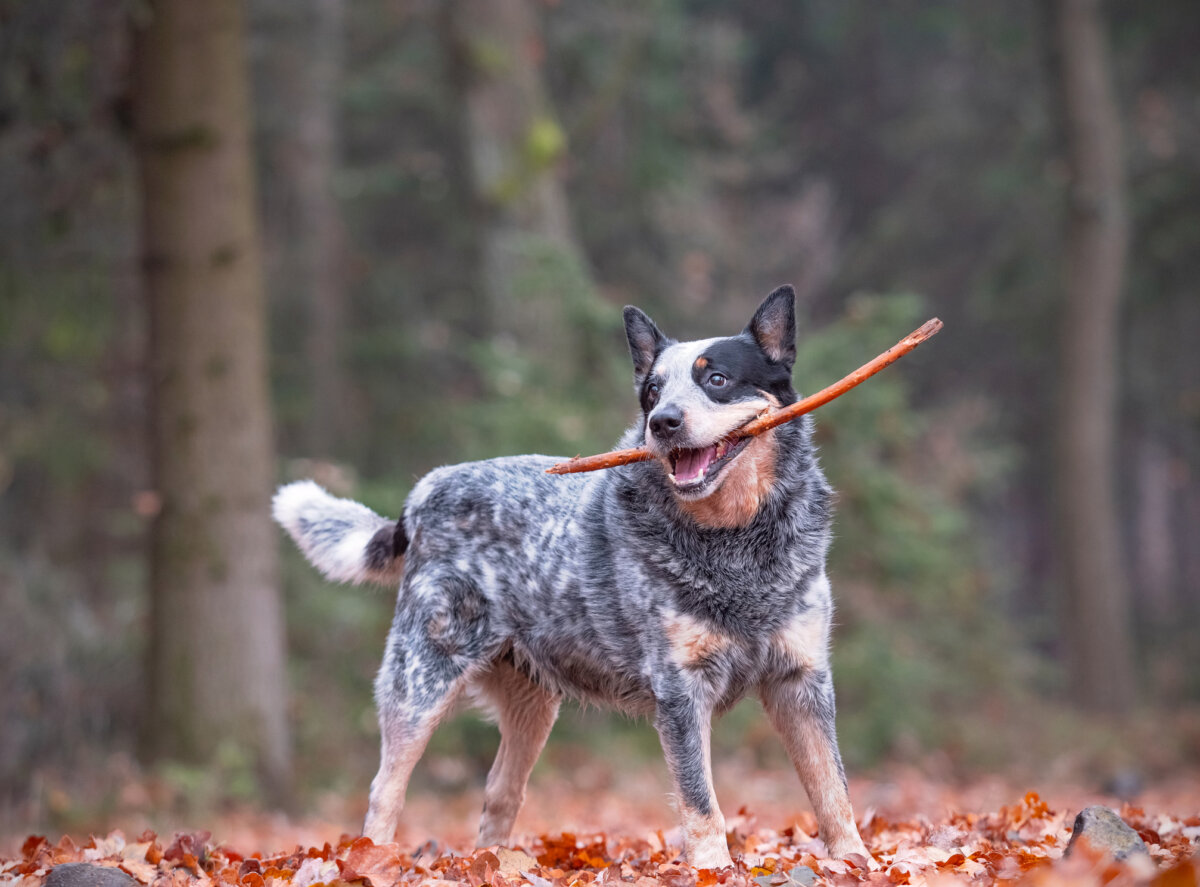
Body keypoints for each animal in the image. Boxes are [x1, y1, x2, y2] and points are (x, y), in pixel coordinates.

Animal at [274, 285, 864, 868]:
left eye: (716, 378)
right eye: (652, 391)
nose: (663, 422)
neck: (737, 540)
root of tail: (424, 492)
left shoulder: (802, 679)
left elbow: (833, 790)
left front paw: (857, 862)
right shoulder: (680, 689)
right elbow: (701, 802)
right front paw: (713, 869)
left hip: (532, 705)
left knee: (501, 792)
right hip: (421, 682)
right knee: (385, 789)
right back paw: (371, 859)